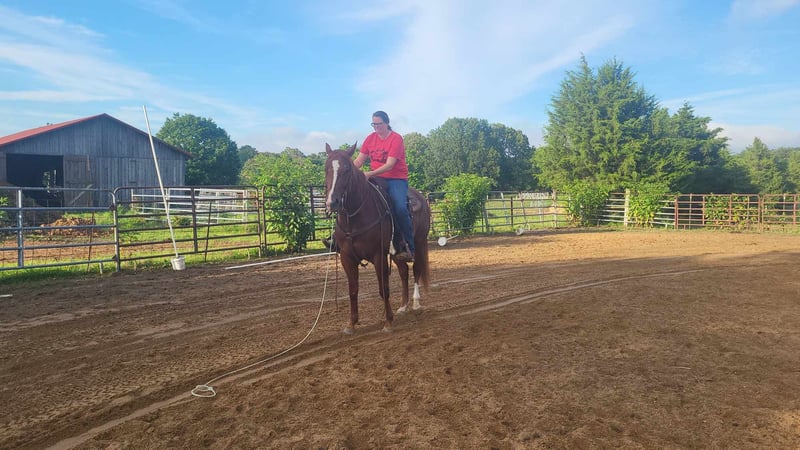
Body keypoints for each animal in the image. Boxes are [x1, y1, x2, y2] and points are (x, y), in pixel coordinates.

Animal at [324, 143, 431, 334]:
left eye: (347, 169)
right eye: (326, 168)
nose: (332, 202)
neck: (355, 218)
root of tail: (420, 197)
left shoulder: (378, 255)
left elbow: (384, 289)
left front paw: (388, 322)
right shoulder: (347, 258)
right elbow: (353, 290)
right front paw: (351, 324)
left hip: (419, 243)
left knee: (416, 269)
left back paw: (416, 304)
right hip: (396, 253)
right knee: (404, 272)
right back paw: (403, 307)